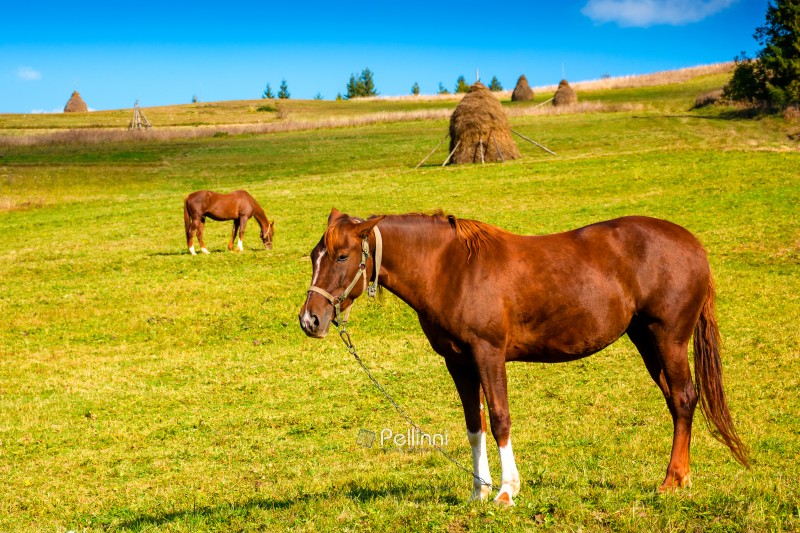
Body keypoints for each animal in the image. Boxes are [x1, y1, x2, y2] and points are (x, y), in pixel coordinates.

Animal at [298, 209, 748, 506]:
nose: (310, 319)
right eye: (314, 255)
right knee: (676, 401)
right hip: (646, 340)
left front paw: (505, 490)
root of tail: (693, 245)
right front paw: (478, 491)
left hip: (667, 339)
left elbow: (499, 418)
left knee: (685, 399)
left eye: (341, 256)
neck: (450, 268)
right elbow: (474, 425)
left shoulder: (488, 354)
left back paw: (673, 481)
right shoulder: (458, 362)